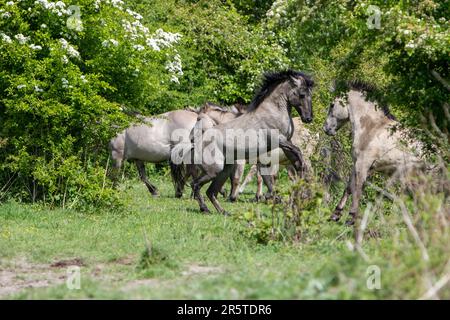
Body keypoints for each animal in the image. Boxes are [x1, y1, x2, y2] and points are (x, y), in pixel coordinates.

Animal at [324, 81, 426, 229]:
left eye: (332, 104)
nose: (326, 129)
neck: (371, 127)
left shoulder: (363, 164)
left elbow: (358, 187)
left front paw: (351, 218)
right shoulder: (357, 163)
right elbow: (349, 187)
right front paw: (335, 214)